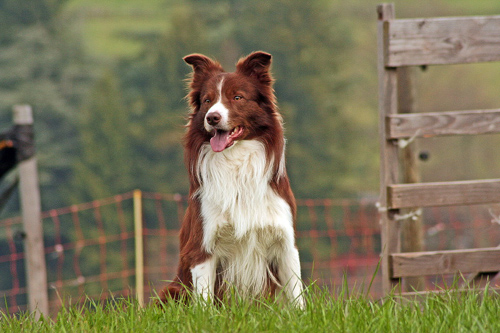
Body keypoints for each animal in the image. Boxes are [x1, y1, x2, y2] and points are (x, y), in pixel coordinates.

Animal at [162, 50, 304, 304]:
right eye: (207, 101)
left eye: (237, 97)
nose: (212, 118)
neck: (236, 162)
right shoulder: (203, 248)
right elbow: (205, 303)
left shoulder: (285, 243)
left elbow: (298, 299)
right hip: (172, 292)